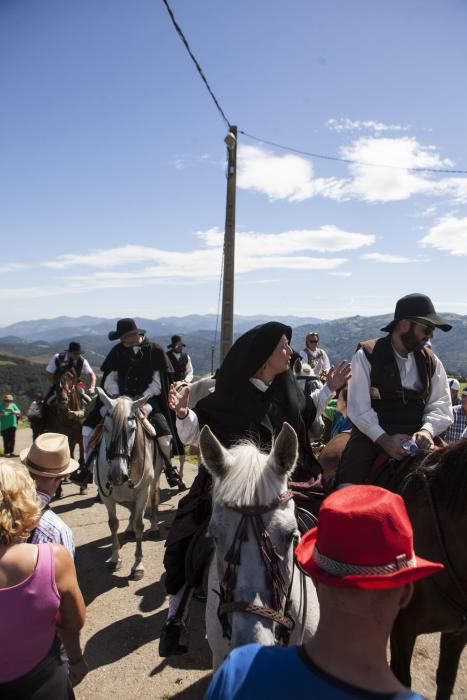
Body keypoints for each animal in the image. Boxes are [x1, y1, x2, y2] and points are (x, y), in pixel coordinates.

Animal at [96, 388, 164, 580]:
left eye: (132, 429)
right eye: (105, 427)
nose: (117, 475)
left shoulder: (142, 492)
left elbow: (140, 525)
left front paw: (137, 565)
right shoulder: (106, 495)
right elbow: (113, 523)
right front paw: (114, 558)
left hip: (153, 482)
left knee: (153, 499)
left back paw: (154, 527)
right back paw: (129, 529)